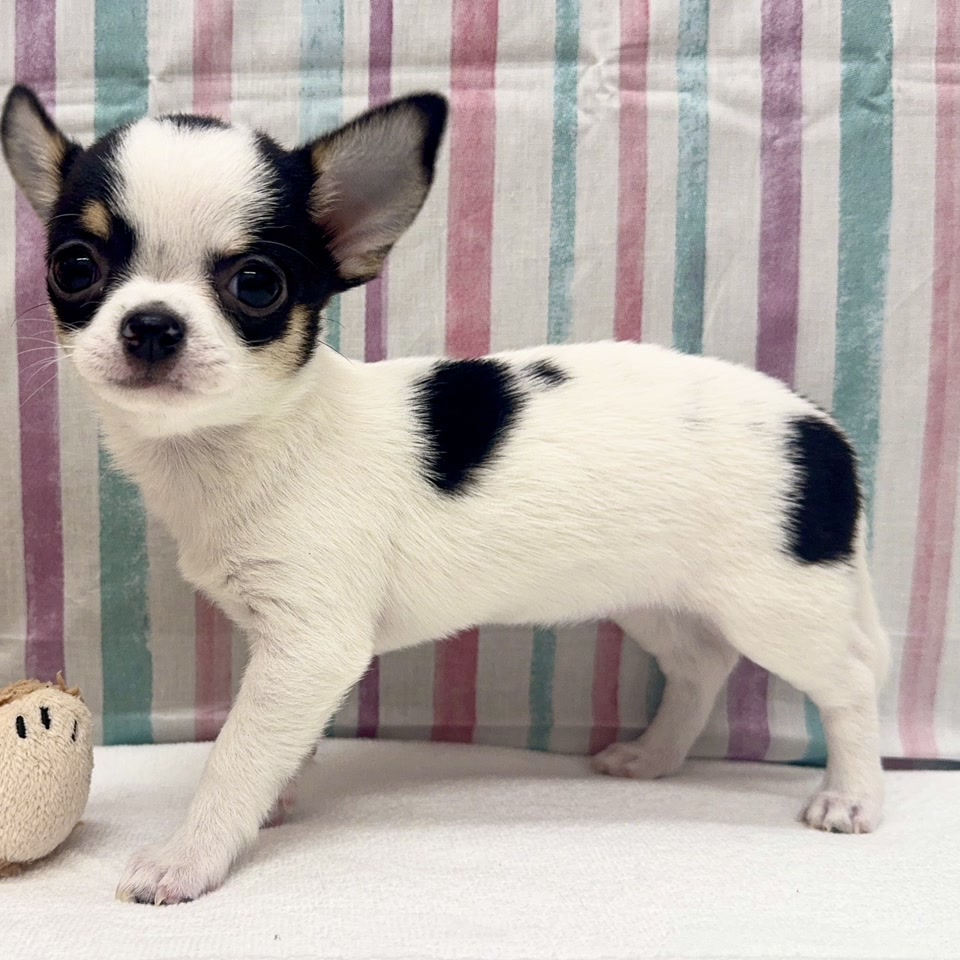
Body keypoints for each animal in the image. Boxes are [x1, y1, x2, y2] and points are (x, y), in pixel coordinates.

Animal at [1, 84, 889, 905]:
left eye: (256, 284)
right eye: (74, 267)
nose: (151, 323)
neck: (239, 442)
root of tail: (823, 431)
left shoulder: (308, 646)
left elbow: (238, 752)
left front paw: (191, 855)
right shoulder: (294, 651)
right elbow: (283, 743)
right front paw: (277, 798)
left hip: (779, 607)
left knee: (850, 683)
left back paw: (852, 795)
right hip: (659, 596)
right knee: (702, 665)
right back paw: (657, 753)